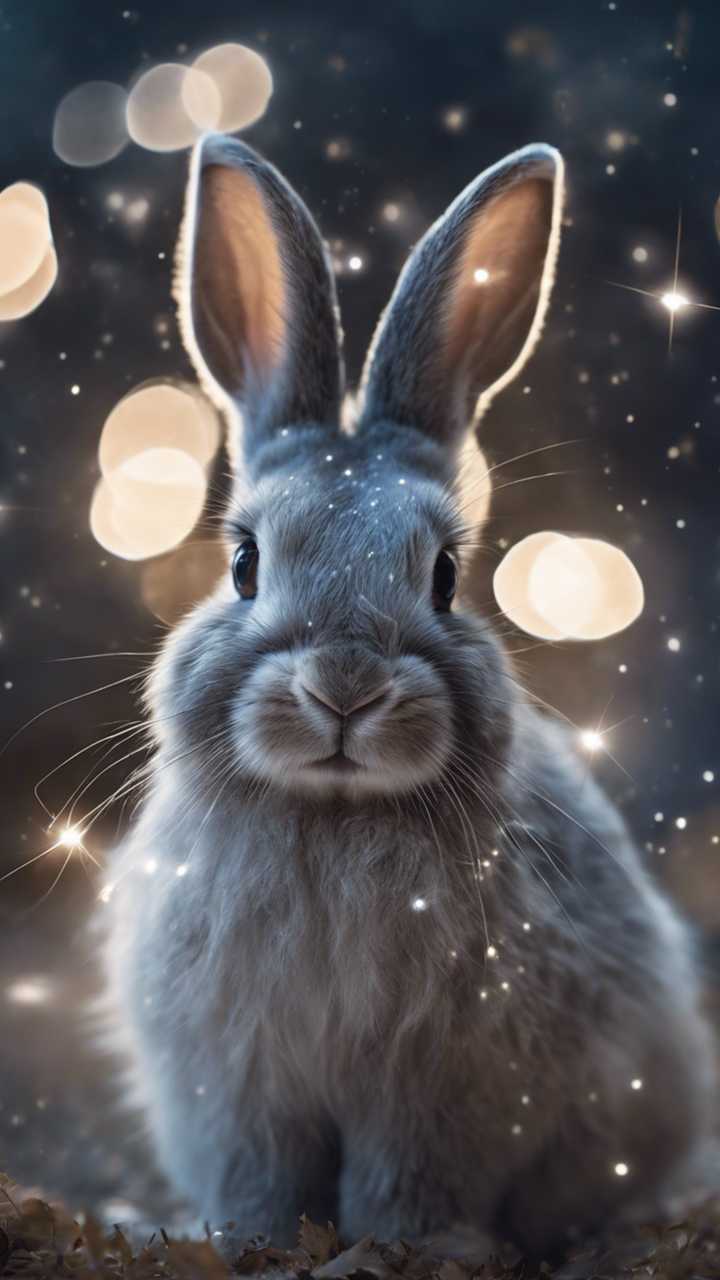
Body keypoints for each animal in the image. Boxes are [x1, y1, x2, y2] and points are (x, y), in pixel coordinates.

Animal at [102, 133, 716, 1259]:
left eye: (445, 575)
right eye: (244, 562)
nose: (344, 687)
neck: (336, 817)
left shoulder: (443, 1089)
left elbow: (409, 1182)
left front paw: (396, 1254)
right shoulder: (239, 1086)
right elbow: (263, 1180)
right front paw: (259, 1248)